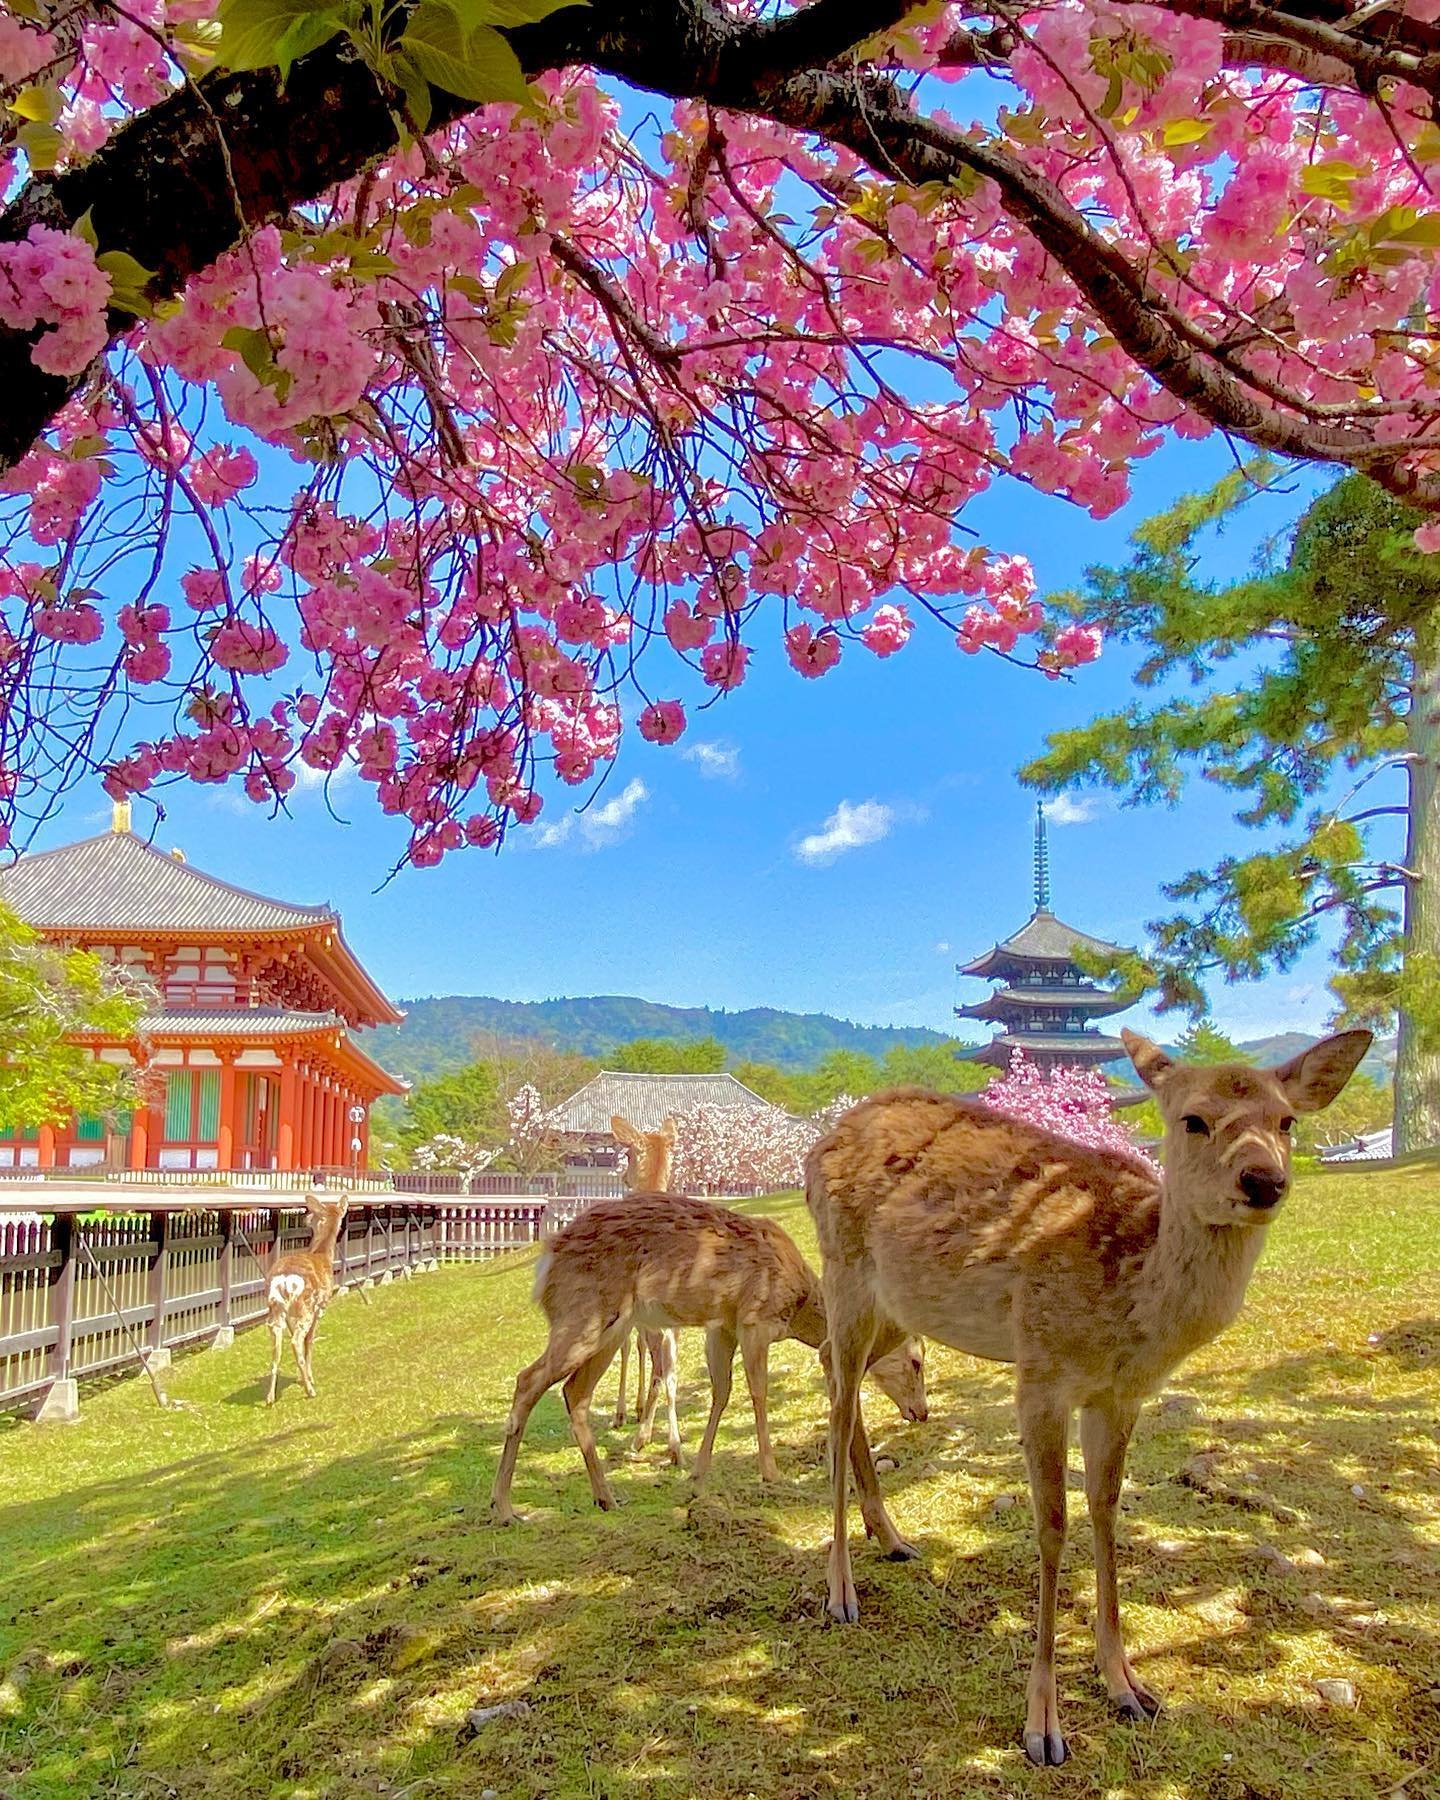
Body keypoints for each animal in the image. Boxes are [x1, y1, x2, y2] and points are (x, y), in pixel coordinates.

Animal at [263, 1192, 350, 1405]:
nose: (305, 1218)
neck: (322, 1255)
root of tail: (285, 1280)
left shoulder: (291, 1316)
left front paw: (301, 1377)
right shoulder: (321, 1307)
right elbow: (309, 1341)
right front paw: (308, 1377)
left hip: (276, 1310)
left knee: (277, 1347)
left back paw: (270, 1397)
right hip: (306, 1308)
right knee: (296, 1341)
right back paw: (310, 1390)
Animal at [490, 1190, 930, 1524]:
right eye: (916, 1359)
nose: (922, 1412)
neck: (800, 1302)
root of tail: (545, 1262)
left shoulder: (723, 1327)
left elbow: (721, 1392)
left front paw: (697, 1474)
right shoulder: (754, 1320)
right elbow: (756, 1393)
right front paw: (770, 1473)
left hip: (609, 1330)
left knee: (574, 1393)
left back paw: (606, 1497)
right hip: (583, 1315)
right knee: (527, 1380)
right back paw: (504, 1507)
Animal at [806, 1028, 1371, 1768]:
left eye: (1286, 1122)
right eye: (1193, 1119)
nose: (1264, 1181)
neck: (1129, 1307)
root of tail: (819, 1143)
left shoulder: (1120, 1395)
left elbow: (1106, 1511)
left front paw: (1128, 1685)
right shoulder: (1041, 1372)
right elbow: (1053, 1525)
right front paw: (1043, 1728)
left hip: (900, 1303)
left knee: (832, 1371)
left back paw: (893, 1537)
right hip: (843, 1267)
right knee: (838, 1399)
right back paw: (841, 1591)